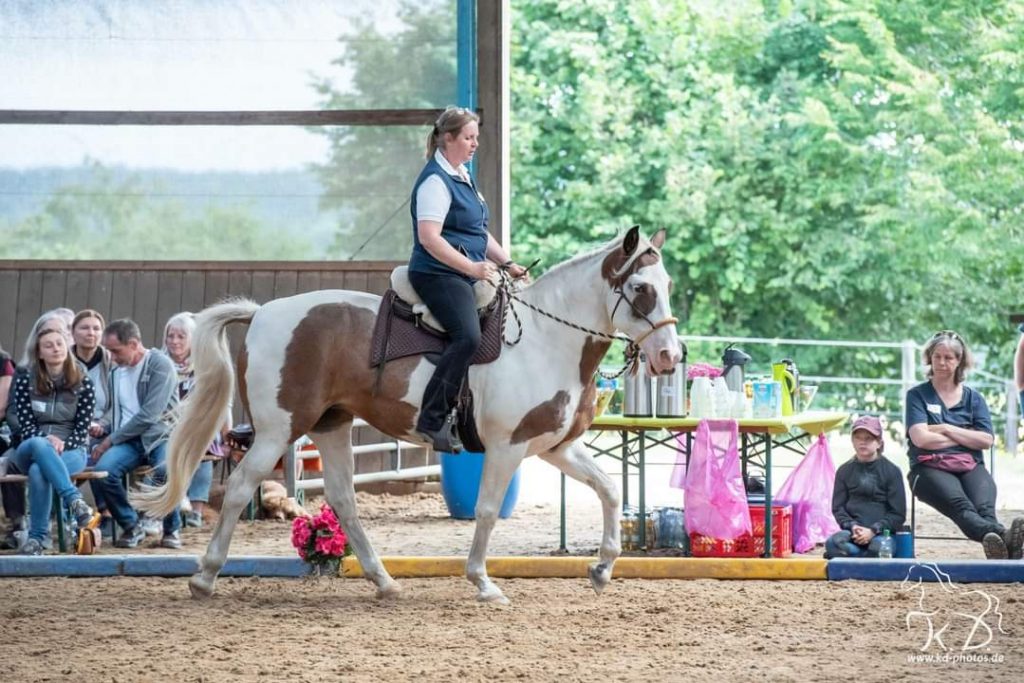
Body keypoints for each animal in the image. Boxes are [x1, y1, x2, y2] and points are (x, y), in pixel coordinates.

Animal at [134, 228, 679, 602]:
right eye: (642, 289)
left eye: (667, 283)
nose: (671, 356)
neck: (546, 341)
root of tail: (264, 312)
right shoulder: (507, 447)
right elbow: (486, 510)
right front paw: (483, 582)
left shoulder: (556, 446)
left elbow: (609, 490)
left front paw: (602, 569)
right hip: (278, 430)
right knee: (241, 487)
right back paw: (205, 578)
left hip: (331, 426)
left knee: (343, 501)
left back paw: (384, 581)